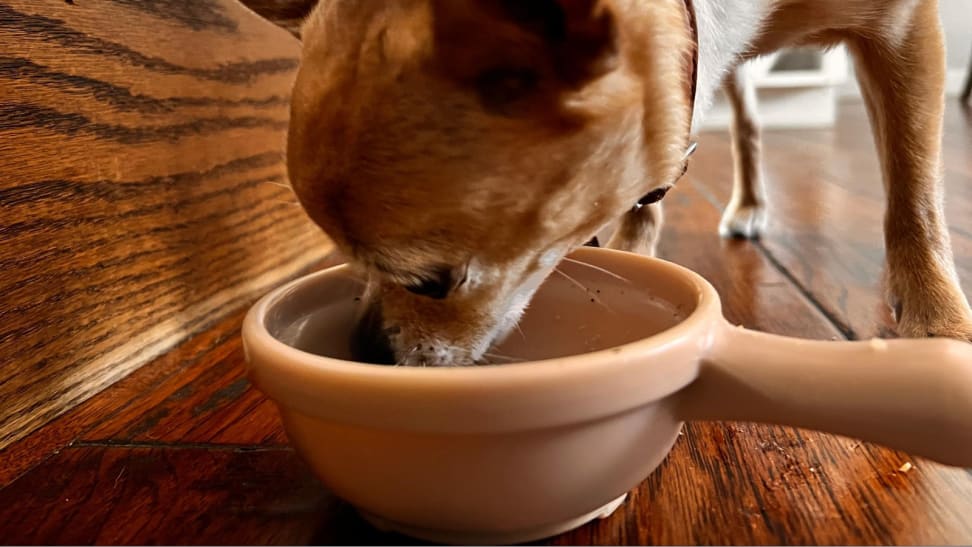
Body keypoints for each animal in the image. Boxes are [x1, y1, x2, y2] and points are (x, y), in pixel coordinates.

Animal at [237, 1, 972, 368]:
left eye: (435, 282)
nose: (361, 351)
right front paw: (631, 252)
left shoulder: (905, 28)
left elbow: (913, 189)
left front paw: (938, 321)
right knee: (739, 121)